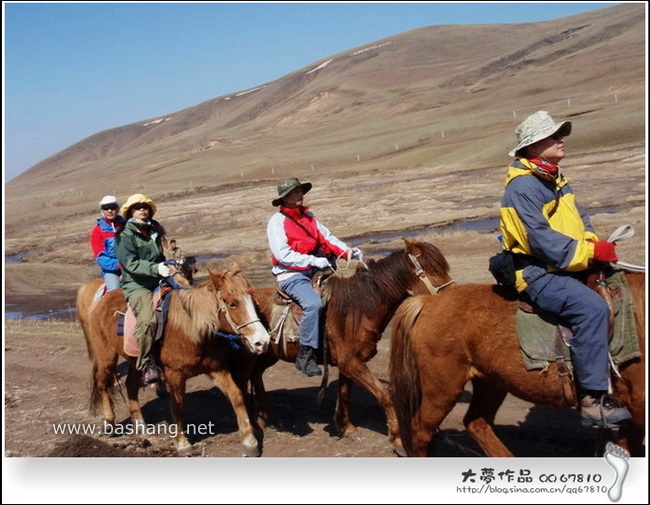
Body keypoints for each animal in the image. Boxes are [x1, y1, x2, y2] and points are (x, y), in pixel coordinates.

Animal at [76, 264, 268, 456]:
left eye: (253, 301)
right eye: (232, 303)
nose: (262, 341)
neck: (191, 329)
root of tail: (101, 300)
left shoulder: (217, 369)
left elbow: (237, 396)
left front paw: (250, 442)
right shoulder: (174, 375)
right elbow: (178, 406)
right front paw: (182, 444)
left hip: (136, 362)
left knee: (130, 385)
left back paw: (141, 425)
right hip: (106, 357)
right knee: (102, 383)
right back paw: (109, 423)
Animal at [247, 238, 450, 454]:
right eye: (432, 270)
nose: (449, 298)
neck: (358, 308)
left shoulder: (349, 363)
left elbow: (344, 395)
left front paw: (347, 429)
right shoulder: (350, 363)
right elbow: (386, 395)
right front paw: (398, 441)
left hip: (269, 354)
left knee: (256, 374)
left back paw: (262, 417)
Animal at [388, 272, 644, 456]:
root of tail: (429, 301)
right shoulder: (636, 409)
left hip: (490, 383)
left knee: (476, 423)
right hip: (443, 389)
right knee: (420, 432)